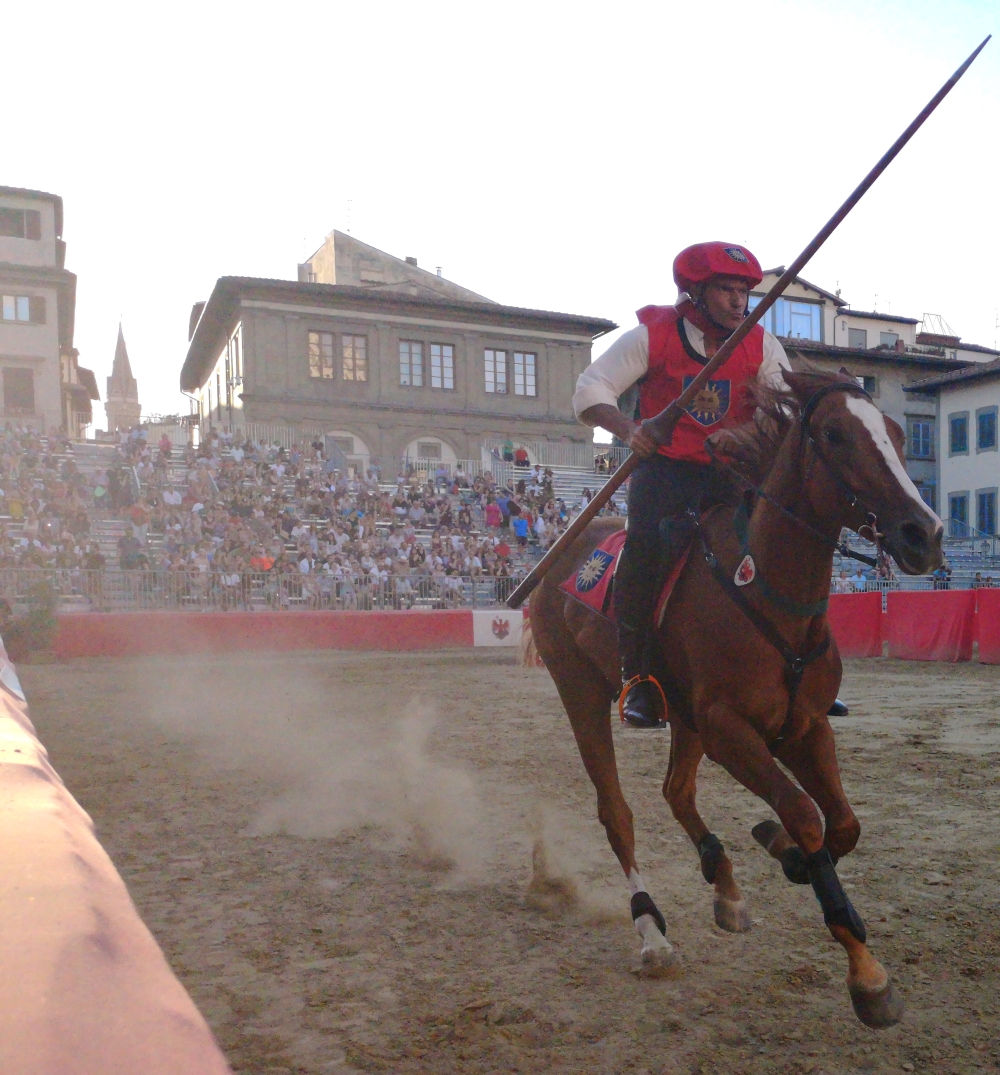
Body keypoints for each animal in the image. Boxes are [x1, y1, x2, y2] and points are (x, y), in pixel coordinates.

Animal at [529, 367, 941, 1023]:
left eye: (900, 436)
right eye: (835, 434)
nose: (923, 534)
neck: (767, 589)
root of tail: (559, 563)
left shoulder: (804, 727)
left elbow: (844, 825)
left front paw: (786, 855)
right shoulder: (731, 731)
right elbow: (804, 814)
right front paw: (866, 973)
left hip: (683, 717)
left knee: (676, 792)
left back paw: (723, 882)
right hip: (582, 693)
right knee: (617, 813)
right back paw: (651, 932)